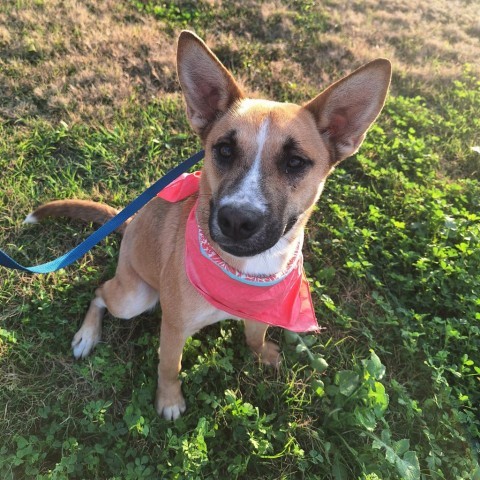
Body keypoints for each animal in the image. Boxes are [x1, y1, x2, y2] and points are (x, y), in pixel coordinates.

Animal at [26, 31, 390, 420]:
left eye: (295, 162)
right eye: (224, 150)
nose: (237, 220)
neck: (242, 272)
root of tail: (133, 220)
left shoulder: (260, 311)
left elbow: (255, 336)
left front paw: (262, 354)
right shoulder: (173, 327)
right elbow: (169, 367)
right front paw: (169, 400)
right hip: (135, 296)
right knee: (100, 292)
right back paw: (87, 336)